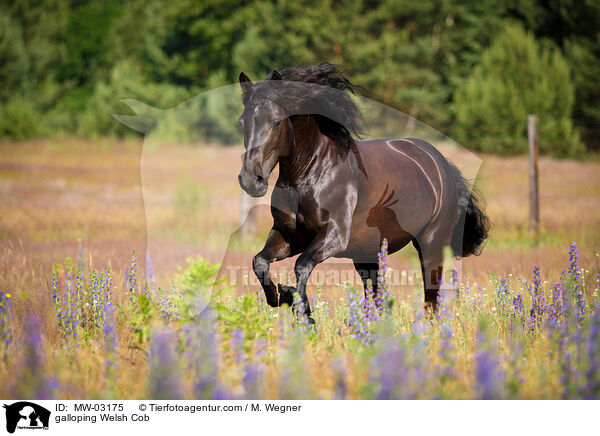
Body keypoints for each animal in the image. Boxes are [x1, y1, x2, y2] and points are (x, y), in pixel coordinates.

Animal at [236, 63, 488, 324]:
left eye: (276, 122)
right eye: (242, 122)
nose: (251, 180)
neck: (308, 173)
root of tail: (440, 164)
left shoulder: (334, 237)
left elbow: (301, 265)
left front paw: (302, 310)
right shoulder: (289, 236)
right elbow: (259, 262)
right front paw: (280, 297)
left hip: (431, 244)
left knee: (431, 297)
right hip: (367, 254)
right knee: (376, 298)